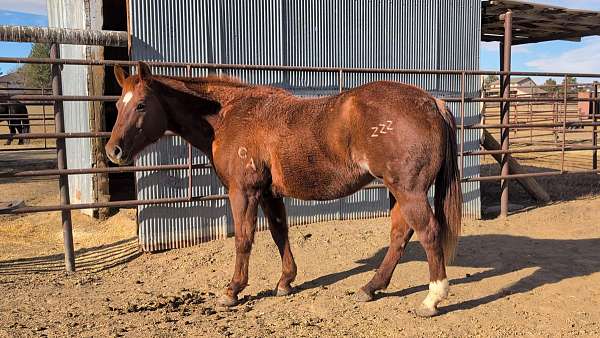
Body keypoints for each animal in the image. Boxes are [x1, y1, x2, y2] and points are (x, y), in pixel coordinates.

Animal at [105, 62, 462, 316]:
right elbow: (279, 233)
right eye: (119, 105)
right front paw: (286, 282)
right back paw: (370, 287)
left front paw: (232, 291)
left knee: (428, 232)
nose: (113, 151)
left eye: (141, 105)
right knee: (400, 234)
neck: (228, 115)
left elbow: (244, 240)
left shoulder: (244, 192)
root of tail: (433, 102)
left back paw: (432, 299)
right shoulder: (268, 193)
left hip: (409, 191)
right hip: (398, 191)